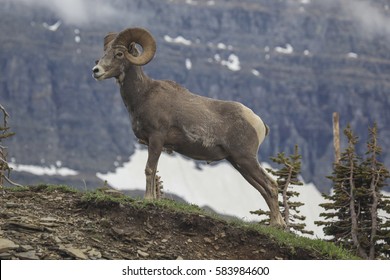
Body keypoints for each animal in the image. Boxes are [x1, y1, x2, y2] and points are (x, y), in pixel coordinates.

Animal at [93, 27, 284, 228]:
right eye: (104, 53)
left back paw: (278, 225)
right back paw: (276, 224)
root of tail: (258, 122)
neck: (143, 95)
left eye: (119, 54)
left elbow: (149, 169)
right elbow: (153, 171)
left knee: (271, 185)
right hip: (239, 164)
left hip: (246, 159)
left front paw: (147, 200)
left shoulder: (156, 139)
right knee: (262, 189)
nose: (96, 71)